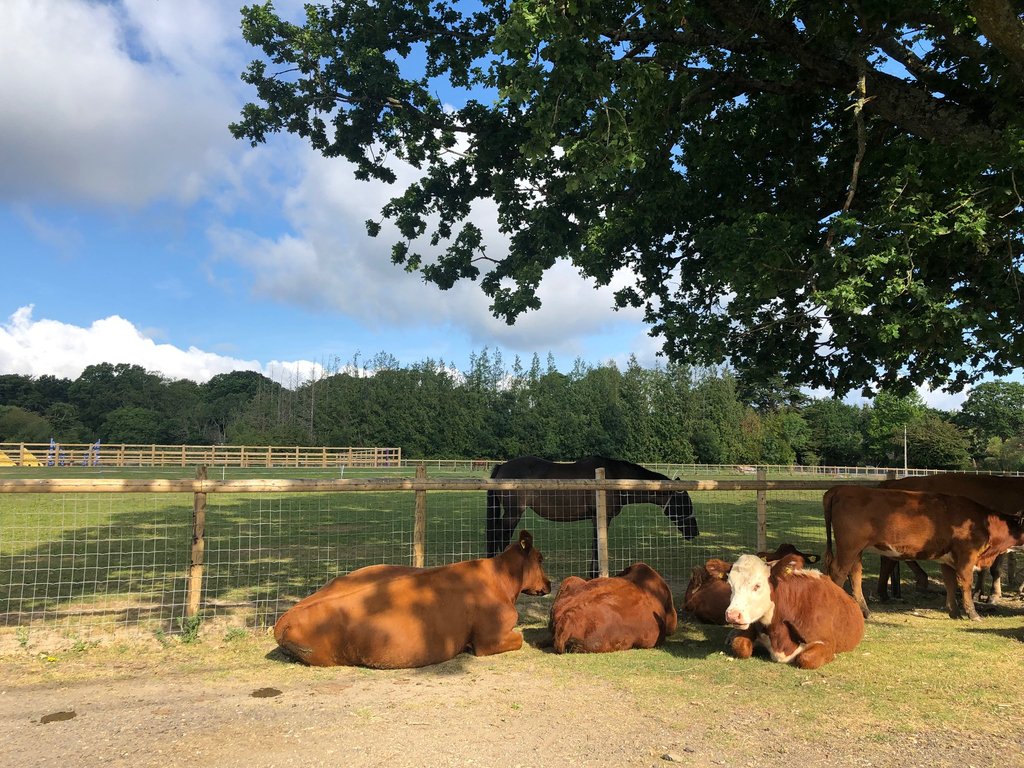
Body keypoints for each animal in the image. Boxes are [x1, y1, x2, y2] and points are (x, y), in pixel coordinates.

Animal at [274, 530, 551, 667]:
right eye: (540, 558)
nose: (549, 584)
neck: (500, 579)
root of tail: (285, 619)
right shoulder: (489, 639)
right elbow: (521, 638)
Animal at [486, 455, 699, 577]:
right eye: (684, 504)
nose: (694, 532)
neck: (614, 478)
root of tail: (501, 467)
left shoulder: (595, 519)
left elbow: (595, 545)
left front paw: (592, 574)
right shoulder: (602, 518)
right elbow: (598, 545)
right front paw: (596, 575)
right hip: (513, 514)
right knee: (500, 536)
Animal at [724, 553, 865, 669]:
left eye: (757, 586)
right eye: (730, 585)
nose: (732, 615)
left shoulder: (827, 642)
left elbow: (806, 658)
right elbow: (740, 647)